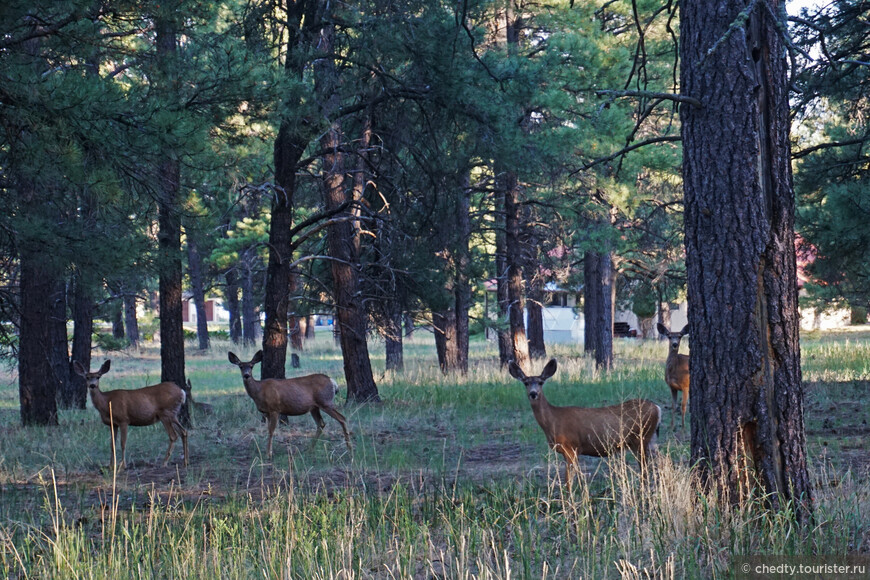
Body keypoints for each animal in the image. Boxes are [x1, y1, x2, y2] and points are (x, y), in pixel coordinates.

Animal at [508, 358, 664, 484]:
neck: (552, 421)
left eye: (540, 382)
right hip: (649, 439)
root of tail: (657, 408)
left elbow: (568, 481)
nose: (533, 393)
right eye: (526, 383)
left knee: (645, 468)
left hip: (641, 438)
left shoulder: (571, 447)